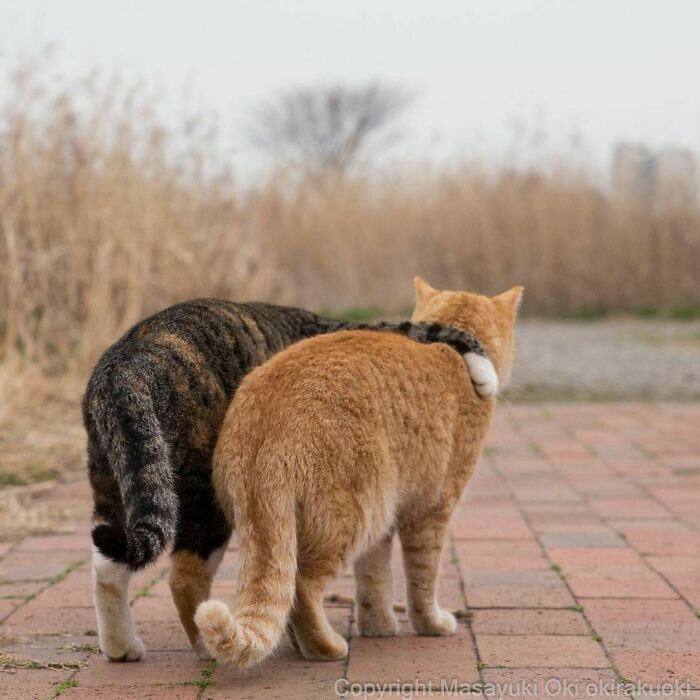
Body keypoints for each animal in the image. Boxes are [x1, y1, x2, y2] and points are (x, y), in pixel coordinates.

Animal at [83, 298, 498, 660]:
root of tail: (125, 366)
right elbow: (438, 330)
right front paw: (484, 373)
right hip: (203, 499)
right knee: (187, 578)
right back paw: (209, 649)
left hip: (120, 482)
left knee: (108, 565)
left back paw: (122, 648)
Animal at [193, 278, 520, 668]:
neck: (451, 351)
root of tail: (266, 425)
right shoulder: (430, 512)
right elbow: (423, 579)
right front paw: (431, 624)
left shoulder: (386, 527)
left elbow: (373, 579)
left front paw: (378, 627)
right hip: (355, 517)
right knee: (302, 588)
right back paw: (325, 648)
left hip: (329, 520)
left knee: (284, 592)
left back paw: (301, 645)